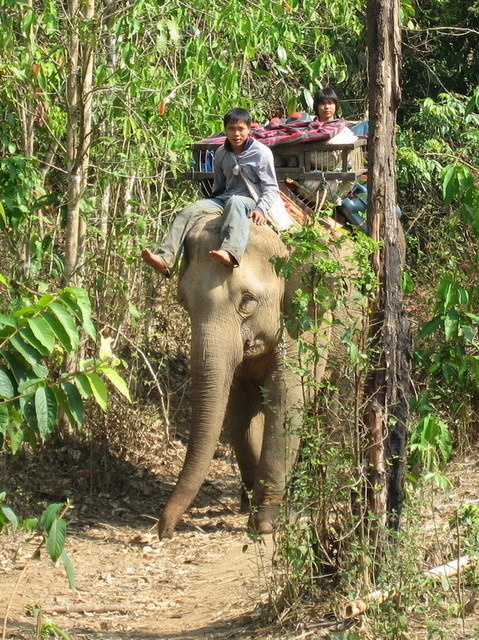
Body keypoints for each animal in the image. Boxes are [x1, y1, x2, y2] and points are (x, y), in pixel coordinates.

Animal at [158, 212, 360, 536]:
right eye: (183, 300)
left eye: (247, 301)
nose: (163, 530)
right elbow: (241, 403)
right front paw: (251, 506)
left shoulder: (307, 317)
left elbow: (288, 396)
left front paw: (265, 523)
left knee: (334, 404)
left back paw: (312, 499)